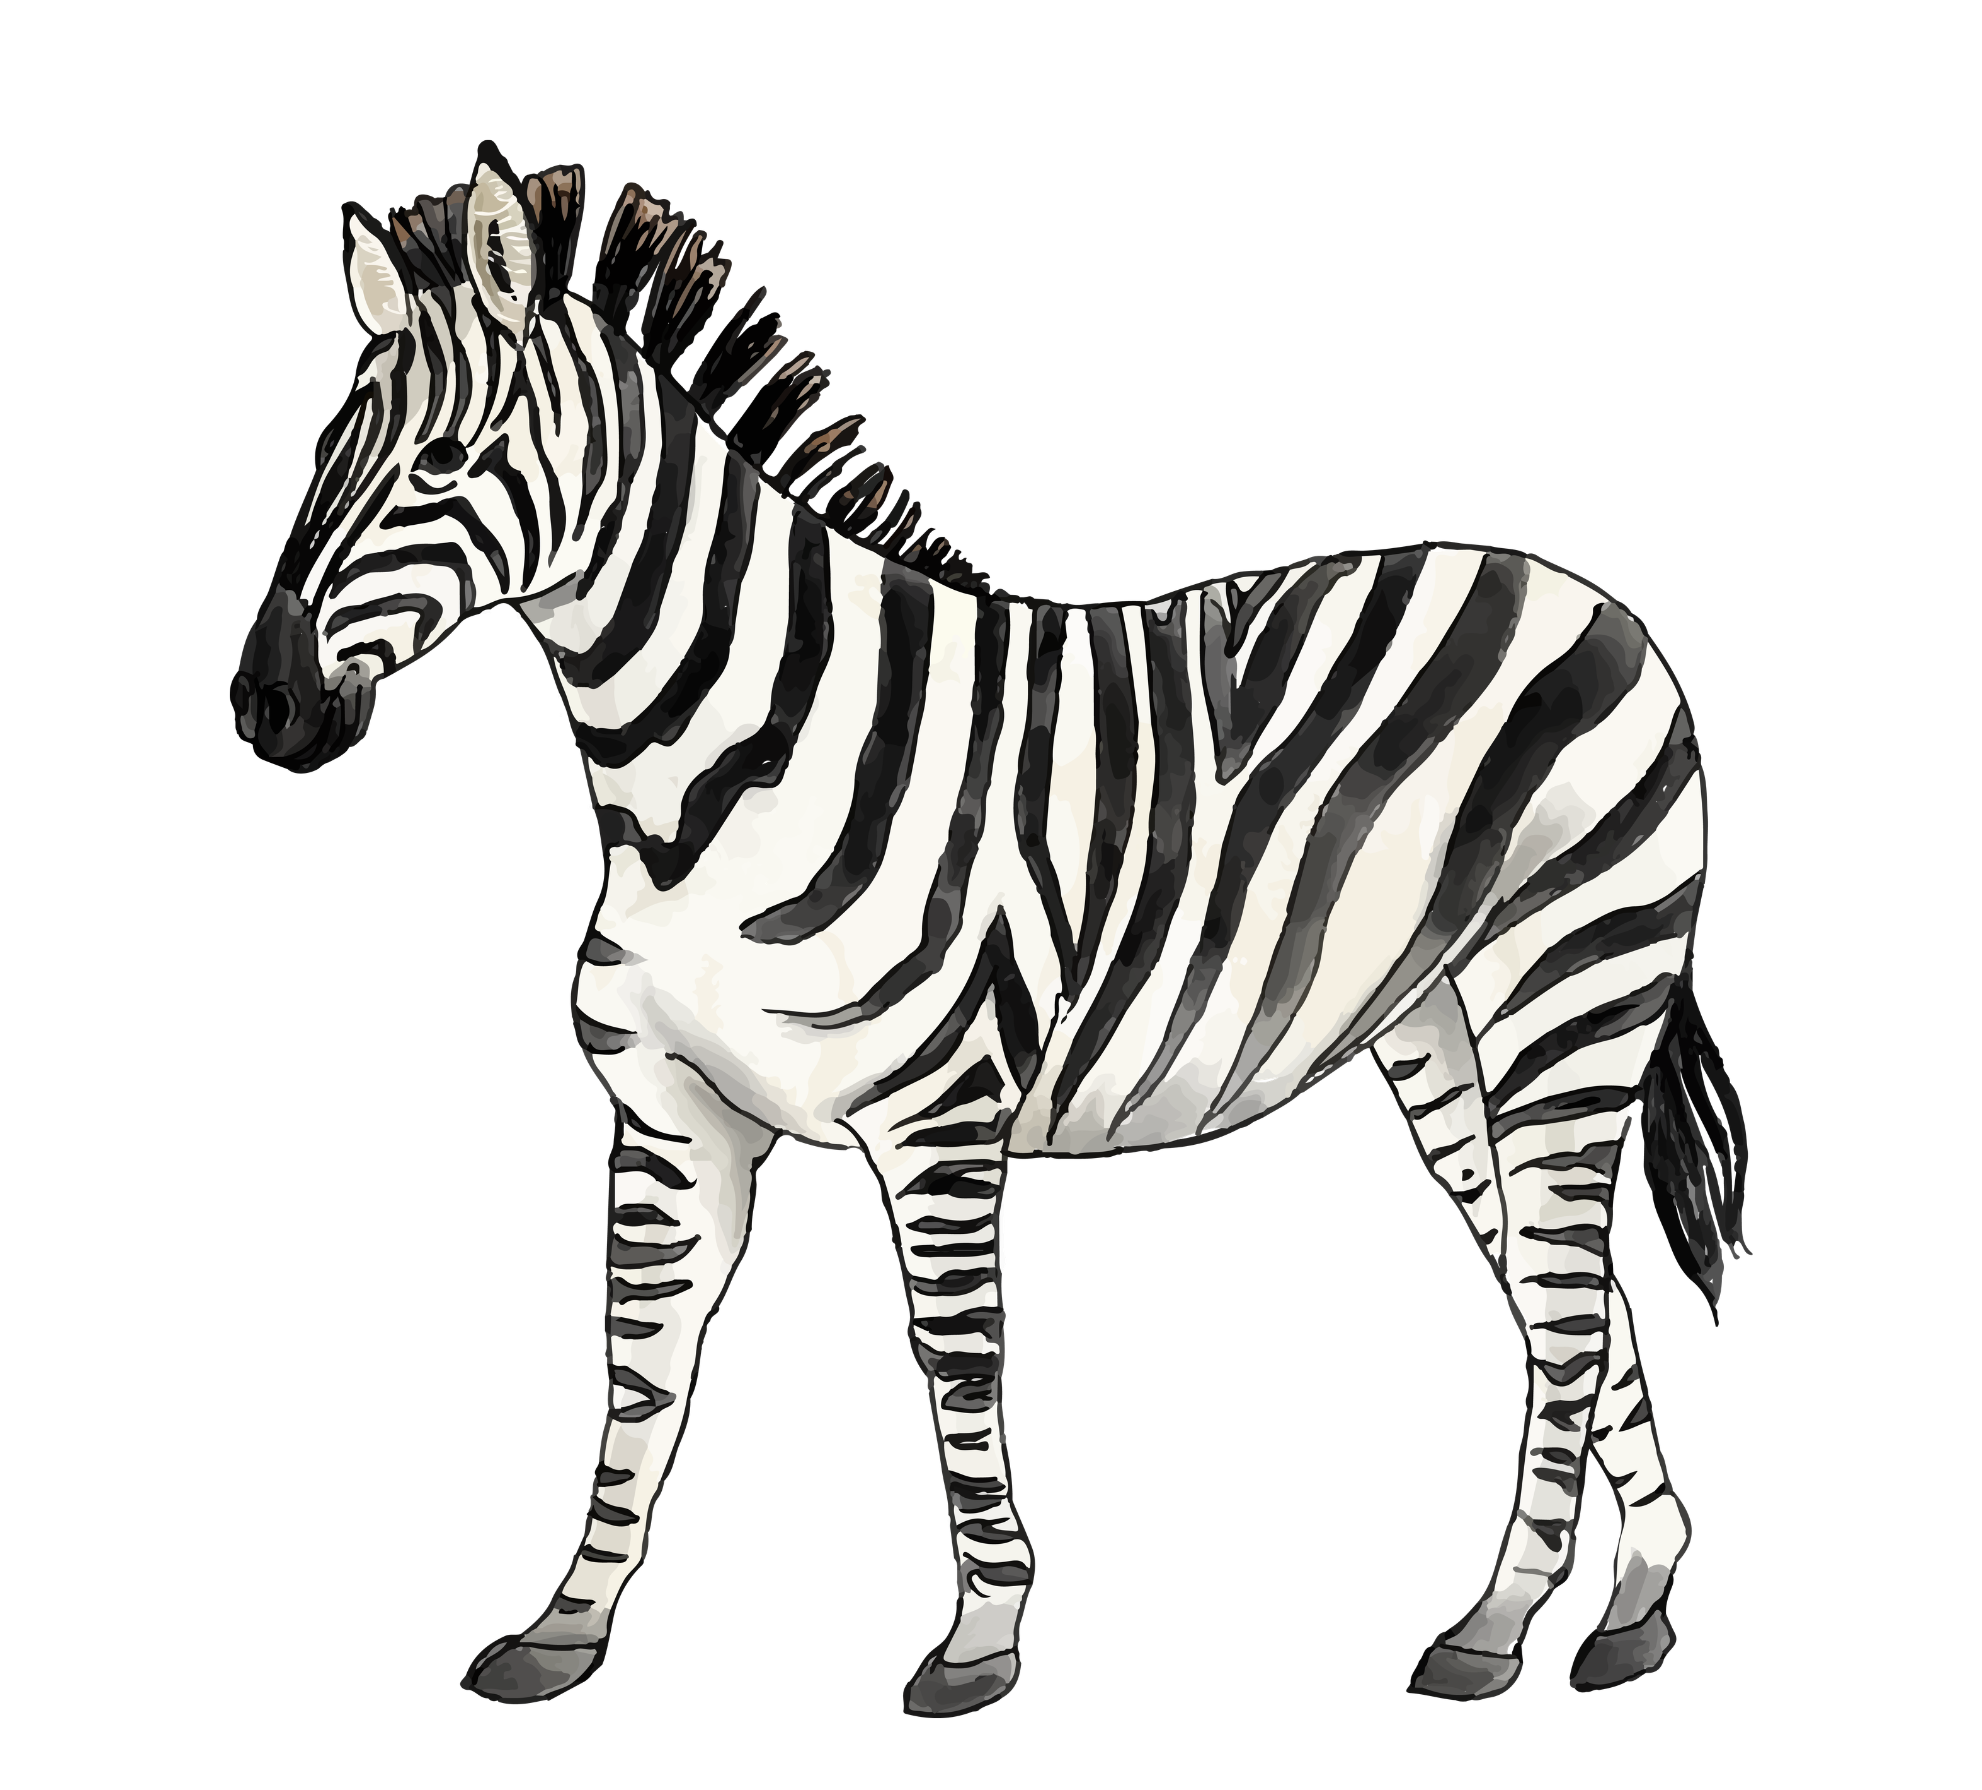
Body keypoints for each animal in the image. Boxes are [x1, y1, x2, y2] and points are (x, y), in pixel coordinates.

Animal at [232, 142, 1748, 1716]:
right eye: (319, 455)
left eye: (441, 467)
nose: (265, 704)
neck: (714, 775)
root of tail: (1589, 597)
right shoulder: (667, 1117)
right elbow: (638, 1361)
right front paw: (563, 1627)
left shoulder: (938, 1114)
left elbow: (956, 1353)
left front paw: (981, 1634)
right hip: (1441, 1028)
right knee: (1569, 1293)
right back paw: (1631, 1598)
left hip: (1568, 988)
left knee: (1563, 1301)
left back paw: (1499, 1622)